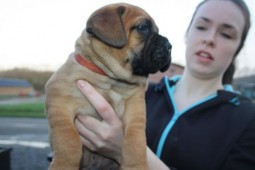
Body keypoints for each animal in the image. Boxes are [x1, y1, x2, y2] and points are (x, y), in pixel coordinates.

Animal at [45, 2, 171, 170]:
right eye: (142, 27)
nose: (170, 46)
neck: (110, 79)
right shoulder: (59, 102)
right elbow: (69, 139)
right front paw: (63, 164)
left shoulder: (136, 108)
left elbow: (136, 140)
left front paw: (136, 164)